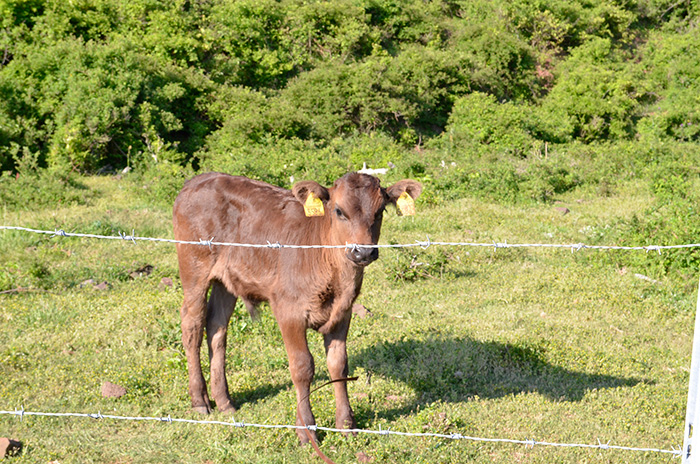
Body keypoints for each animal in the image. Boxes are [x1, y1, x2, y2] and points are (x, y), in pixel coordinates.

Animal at [171, 171, 422, 442]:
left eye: (380, 211)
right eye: (339, 210)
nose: (363, 252)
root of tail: (200, 179)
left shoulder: (343, 313)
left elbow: (339, 364)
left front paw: (346, 424)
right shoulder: (288, 311)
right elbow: (302, 367)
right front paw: (306, 429)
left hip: (226, 281)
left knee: (217, 328)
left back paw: (224, 401)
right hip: (194, 270)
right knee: (192, 326)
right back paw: (199, 400)